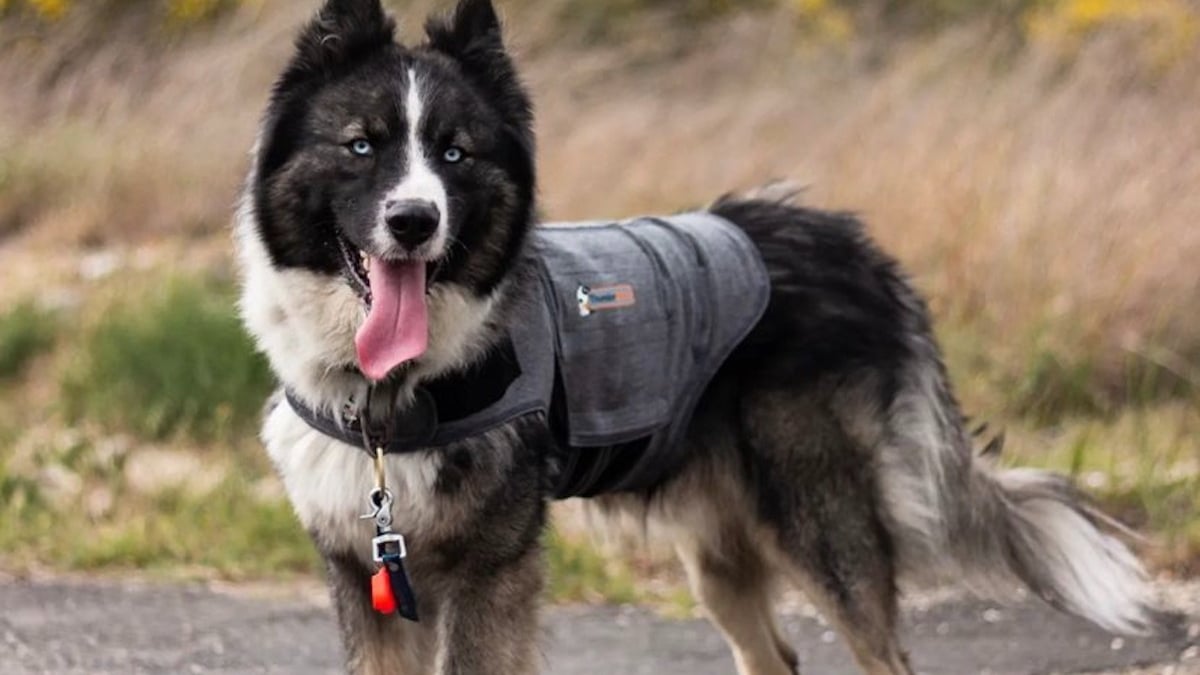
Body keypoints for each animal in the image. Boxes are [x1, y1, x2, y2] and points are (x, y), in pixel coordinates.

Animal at [236, 1, 1171, 672]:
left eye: (456, 155)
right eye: (361, 146)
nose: (415, 219)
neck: (385, 398)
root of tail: (847, 243)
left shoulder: (491, 576)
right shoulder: (363, 576)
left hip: (822, 525)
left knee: (884, 655)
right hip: (721, 551)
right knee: (777, 656)